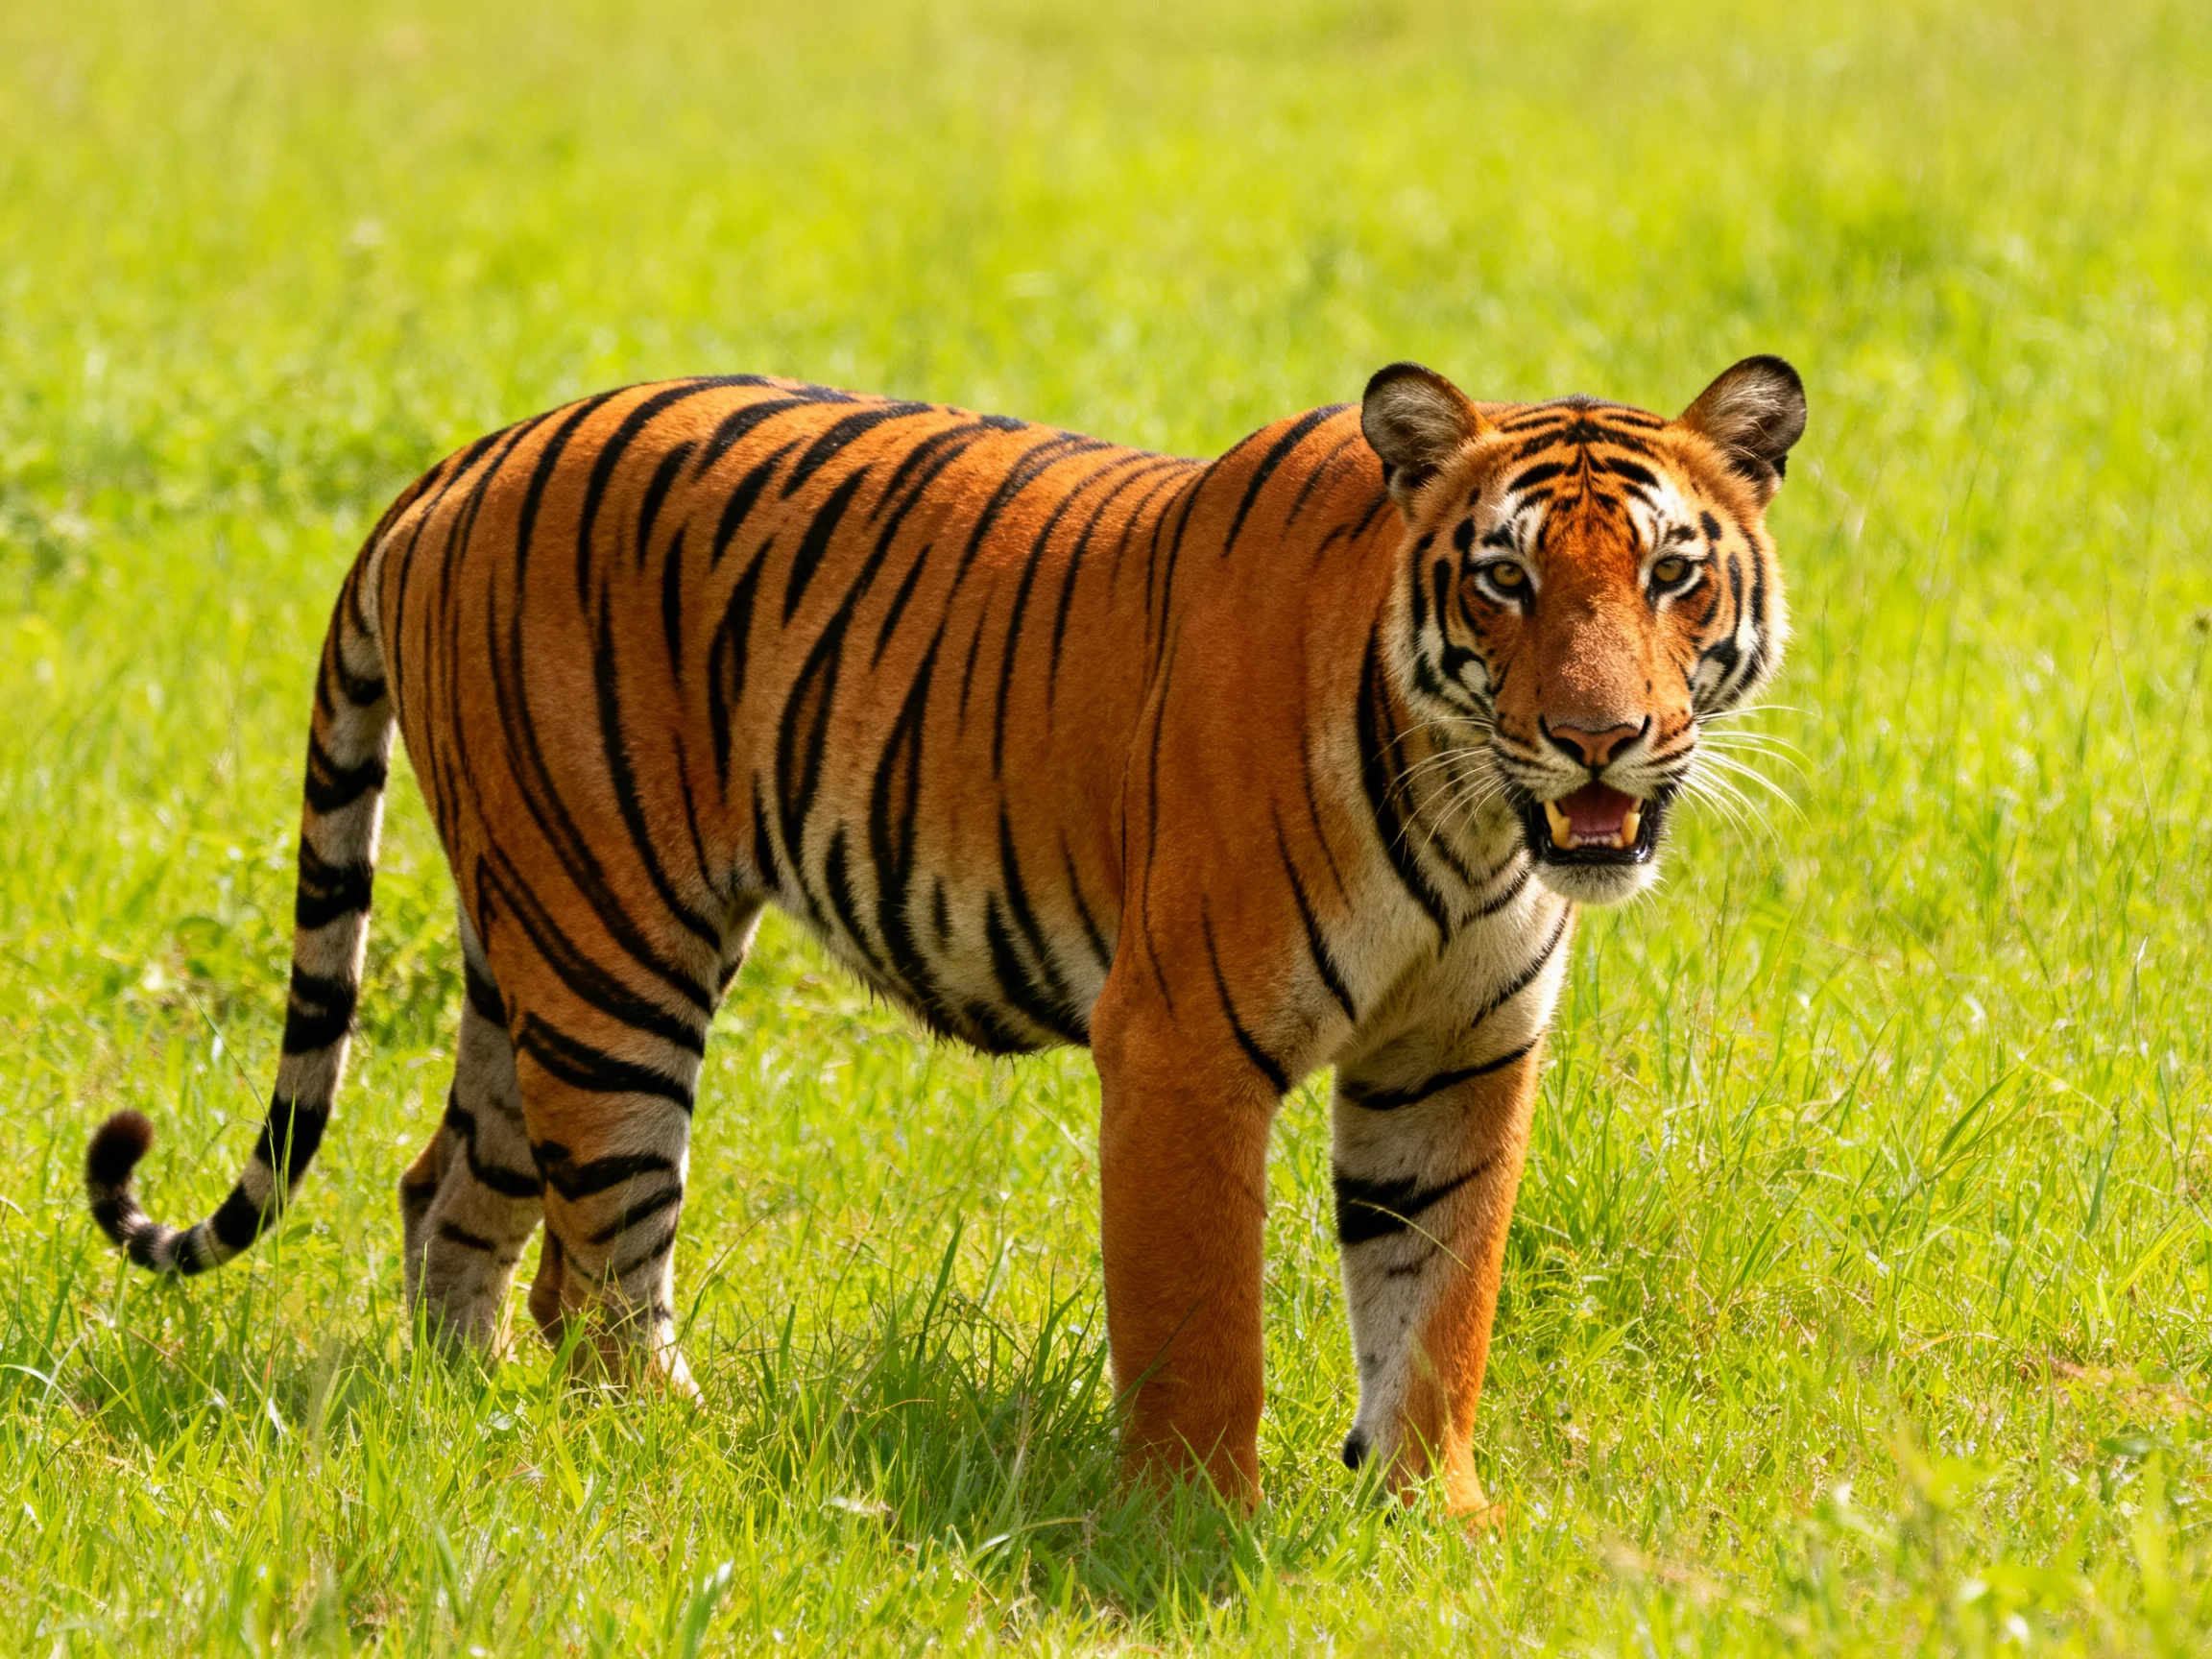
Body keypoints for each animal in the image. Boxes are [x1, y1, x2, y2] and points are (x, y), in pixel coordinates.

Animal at [84, 354, 1804, 1513]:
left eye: (1672, 573)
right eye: (1504, 580)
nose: (1600, 740)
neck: (1470, 818)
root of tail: (465, 455)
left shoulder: (1455, 1055)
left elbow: (1440, 1303)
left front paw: (1426, 1523)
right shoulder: (1181, 1044)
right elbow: (1203, 1323)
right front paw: (1195, 1532)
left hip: (529, 945)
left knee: (448, 1192)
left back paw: (475, 1417)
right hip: (611, 949)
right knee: (602, 1261)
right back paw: (676, 1443)